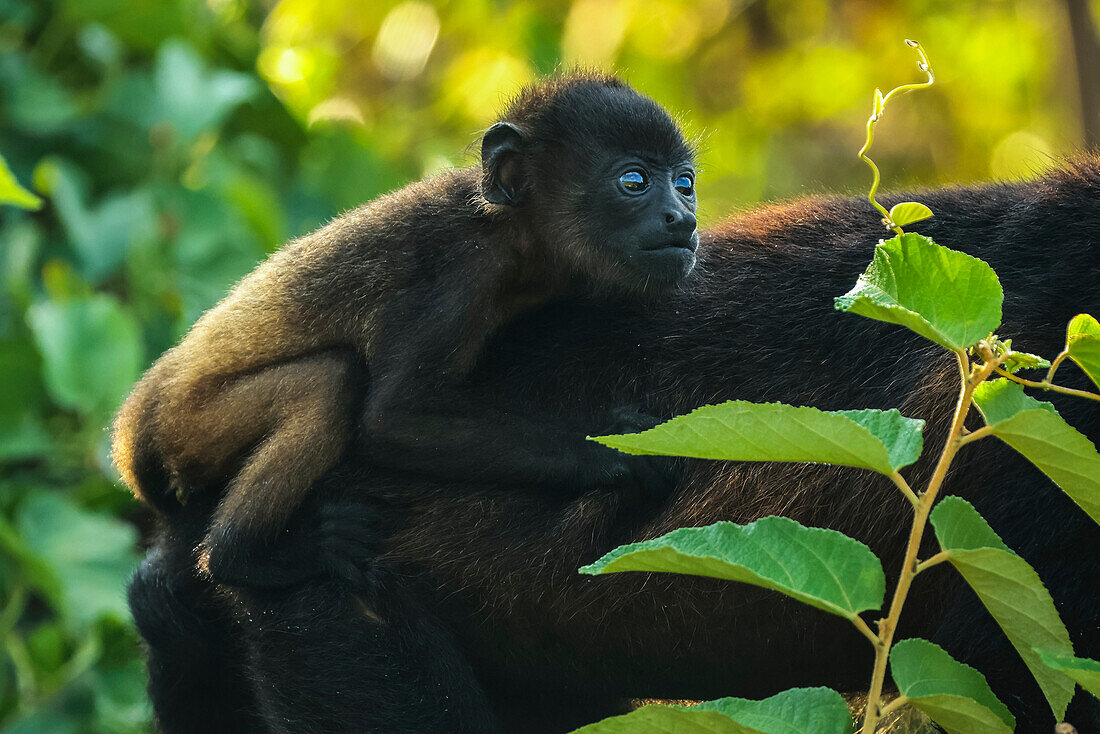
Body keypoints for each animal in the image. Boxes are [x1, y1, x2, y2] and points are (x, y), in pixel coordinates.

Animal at [111, 74, 695, 589]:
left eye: (685, 183)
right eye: (634, 182)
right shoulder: (452, 278)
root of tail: (135, 427)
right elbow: (392, 420)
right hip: (191, 429)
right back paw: (245, 558)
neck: (516, 236)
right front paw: (617, 450)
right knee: (329, 383)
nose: (683, 219)